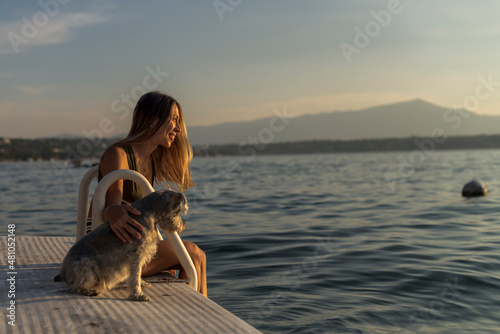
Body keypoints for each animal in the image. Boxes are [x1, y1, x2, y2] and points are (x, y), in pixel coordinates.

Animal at [54, 189, 188, 302]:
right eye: (178, 211)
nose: (182, 226)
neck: (151, 211)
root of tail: (63, 273)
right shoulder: (137, 253)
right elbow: (135, 274)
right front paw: (137, 295)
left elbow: (136, 273)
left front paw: (142, 284)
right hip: (86, 267)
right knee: (73, 288)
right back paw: (90, 291)